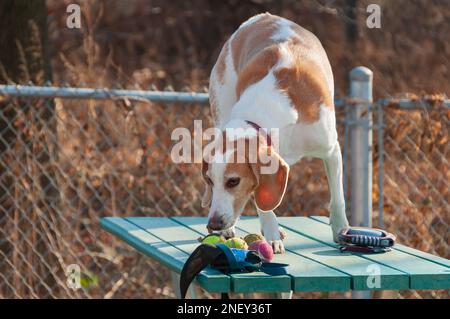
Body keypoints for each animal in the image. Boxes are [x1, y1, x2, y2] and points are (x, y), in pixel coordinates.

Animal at [202, 12, 350, 254]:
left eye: (233, 182)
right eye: (209, 181)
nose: (213, 224)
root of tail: (260, 17)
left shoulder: (331, 150)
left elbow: (337, 198)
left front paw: (340, 229)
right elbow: (262, 201)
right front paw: (271, 234)